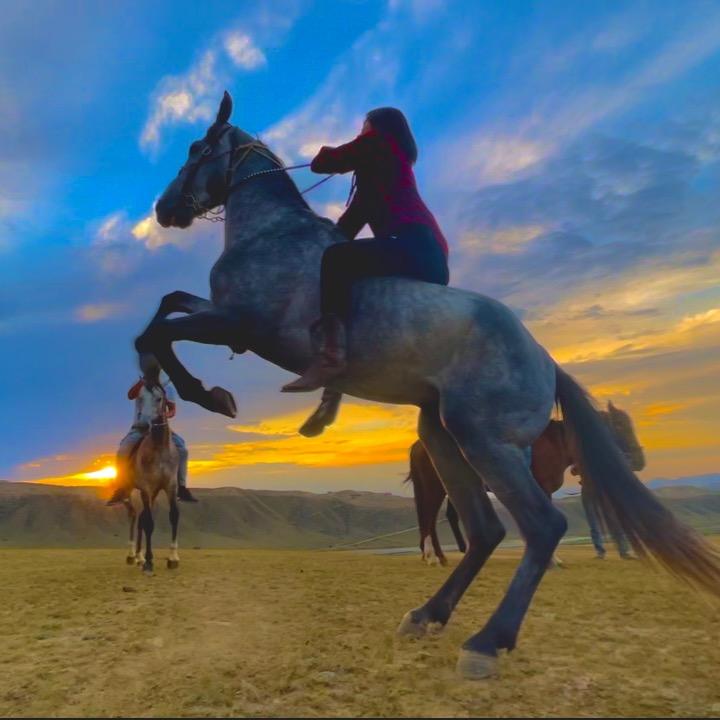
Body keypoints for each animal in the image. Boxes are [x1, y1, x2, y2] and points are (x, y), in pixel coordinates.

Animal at [123, 379, 181, 575]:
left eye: (159, 398)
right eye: (139, 398)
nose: (145, 425)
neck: (159, 448)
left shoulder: (170, 486)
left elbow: (174, 516)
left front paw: (173, 558)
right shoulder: (146, 488)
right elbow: (149, 523)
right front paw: (149, 562)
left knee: (139, 518)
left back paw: (138, 557)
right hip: (133, 493)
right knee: (134, 516)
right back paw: (132, 556)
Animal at [407, 402, 646, 566]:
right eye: (620, 424)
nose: (639, 460)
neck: (553, 442)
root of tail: (418, 445)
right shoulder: (542, 489)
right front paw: (552, 560)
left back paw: (440, 556)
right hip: (435, 487)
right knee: (428, 518)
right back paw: (432, 557)